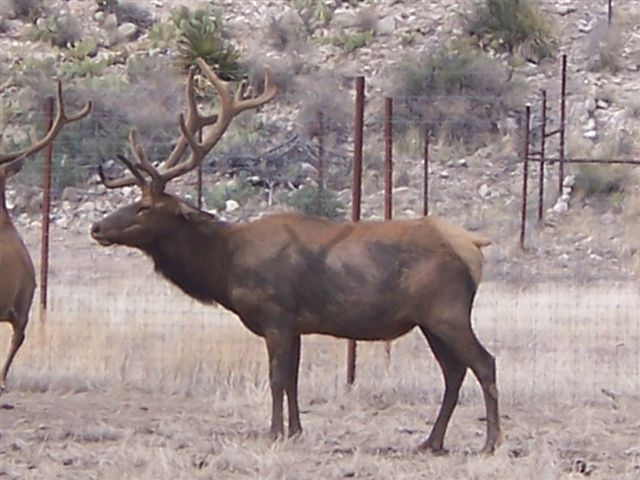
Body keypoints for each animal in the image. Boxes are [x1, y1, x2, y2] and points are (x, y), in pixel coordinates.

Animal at [91, 58, 500, 456]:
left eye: (144, 207)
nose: (97, 227)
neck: (226, 267)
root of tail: (474, 246)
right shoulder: (297, 323)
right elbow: (293, 380)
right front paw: (296, 431)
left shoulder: (276, 315)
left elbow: (276, 378)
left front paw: (274, 433)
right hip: (430, 320)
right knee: (454, 372)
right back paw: (432, 441)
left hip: (447, 310)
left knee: (484, 363)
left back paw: (490, 442)